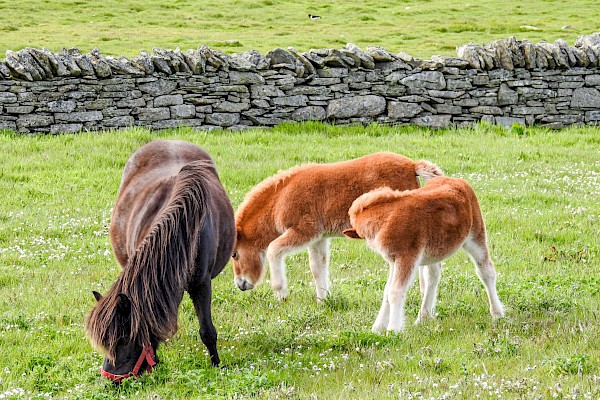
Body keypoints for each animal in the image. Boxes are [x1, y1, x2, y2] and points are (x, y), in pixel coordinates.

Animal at [232, 152, 442, 302]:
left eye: (234, 254)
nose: (241, 284)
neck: (282, 197)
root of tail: (412, 165)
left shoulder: (305, 231)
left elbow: (273, 249)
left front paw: (281, 293)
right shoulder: (319, 238)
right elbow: (318, 267)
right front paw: (323, 299)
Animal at [344, 177, 504, 332]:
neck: (387, 218)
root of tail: (460, 181)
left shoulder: (406, 257)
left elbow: (395, 291)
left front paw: (393, 330)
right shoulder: (393, 261)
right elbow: (387, 291)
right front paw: (377, 328)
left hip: (476, 236)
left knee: (486, 270)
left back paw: (497, 313)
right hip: (434, 252)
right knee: (433, 276)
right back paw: (423, 317)